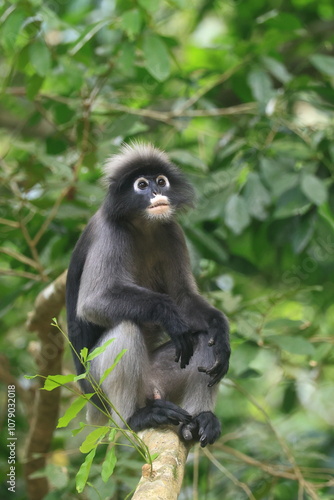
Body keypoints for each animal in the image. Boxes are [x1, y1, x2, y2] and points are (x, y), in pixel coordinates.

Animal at [65, 143, 230, 448]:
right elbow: (92, 303)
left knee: (203, 339)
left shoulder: (171, 230)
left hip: (159, 377)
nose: (156, 192)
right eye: (141, 185)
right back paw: (135, 418)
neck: (142, 225)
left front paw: (221, 331)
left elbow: (183, 296)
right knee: (126, 328)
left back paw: (198, 422)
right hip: (99, 385)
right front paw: (168, 315)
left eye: (161, 181)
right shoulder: (110, 233)